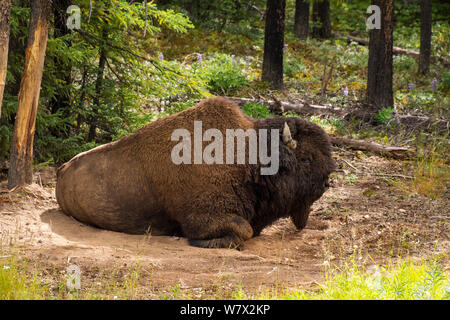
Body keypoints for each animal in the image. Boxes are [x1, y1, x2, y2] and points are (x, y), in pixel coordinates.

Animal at [55, 96, 334, 249]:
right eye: (306, 158)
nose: (326, 183)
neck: (248, 157)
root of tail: (61, 169)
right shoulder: (205, 217)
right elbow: (243, 230)